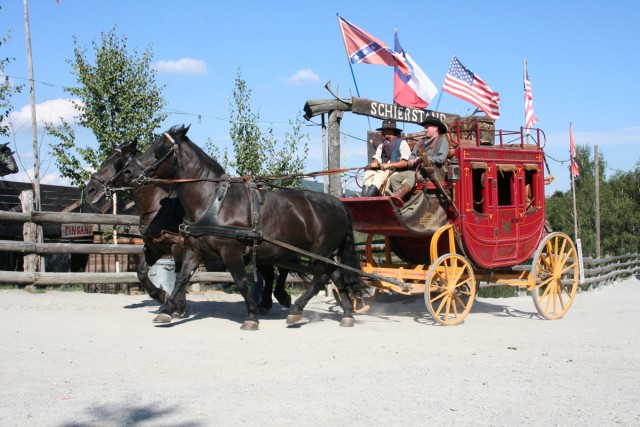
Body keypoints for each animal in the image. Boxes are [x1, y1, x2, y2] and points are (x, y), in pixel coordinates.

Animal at [84, 143, 294, 314]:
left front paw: (176, 305)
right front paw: (162, 297)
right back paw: (266, 303)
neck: (159, 206)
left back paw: (278, 298)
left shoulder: (178, 246)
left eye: (116, 164)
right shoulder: (155, 247)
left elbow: (179, 274)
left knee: (280, 269)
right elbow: (142, 272)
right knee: (271, 272)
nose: (90, 190)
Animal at [119, 124, 360, 332]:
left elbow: (242, 282)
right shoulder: (193, 250)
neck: (212, 201)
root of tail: (339, 203)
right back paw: (347, 314)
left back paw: (296, 309)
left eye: (159, 149)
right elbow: (181, 279)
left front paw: (252, 316)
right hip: (326, 254)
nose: (129, 172)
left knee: (321, 278)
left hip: (320, 252)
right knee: (336, 276)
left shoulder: (231, 251)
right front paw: (167, 310)